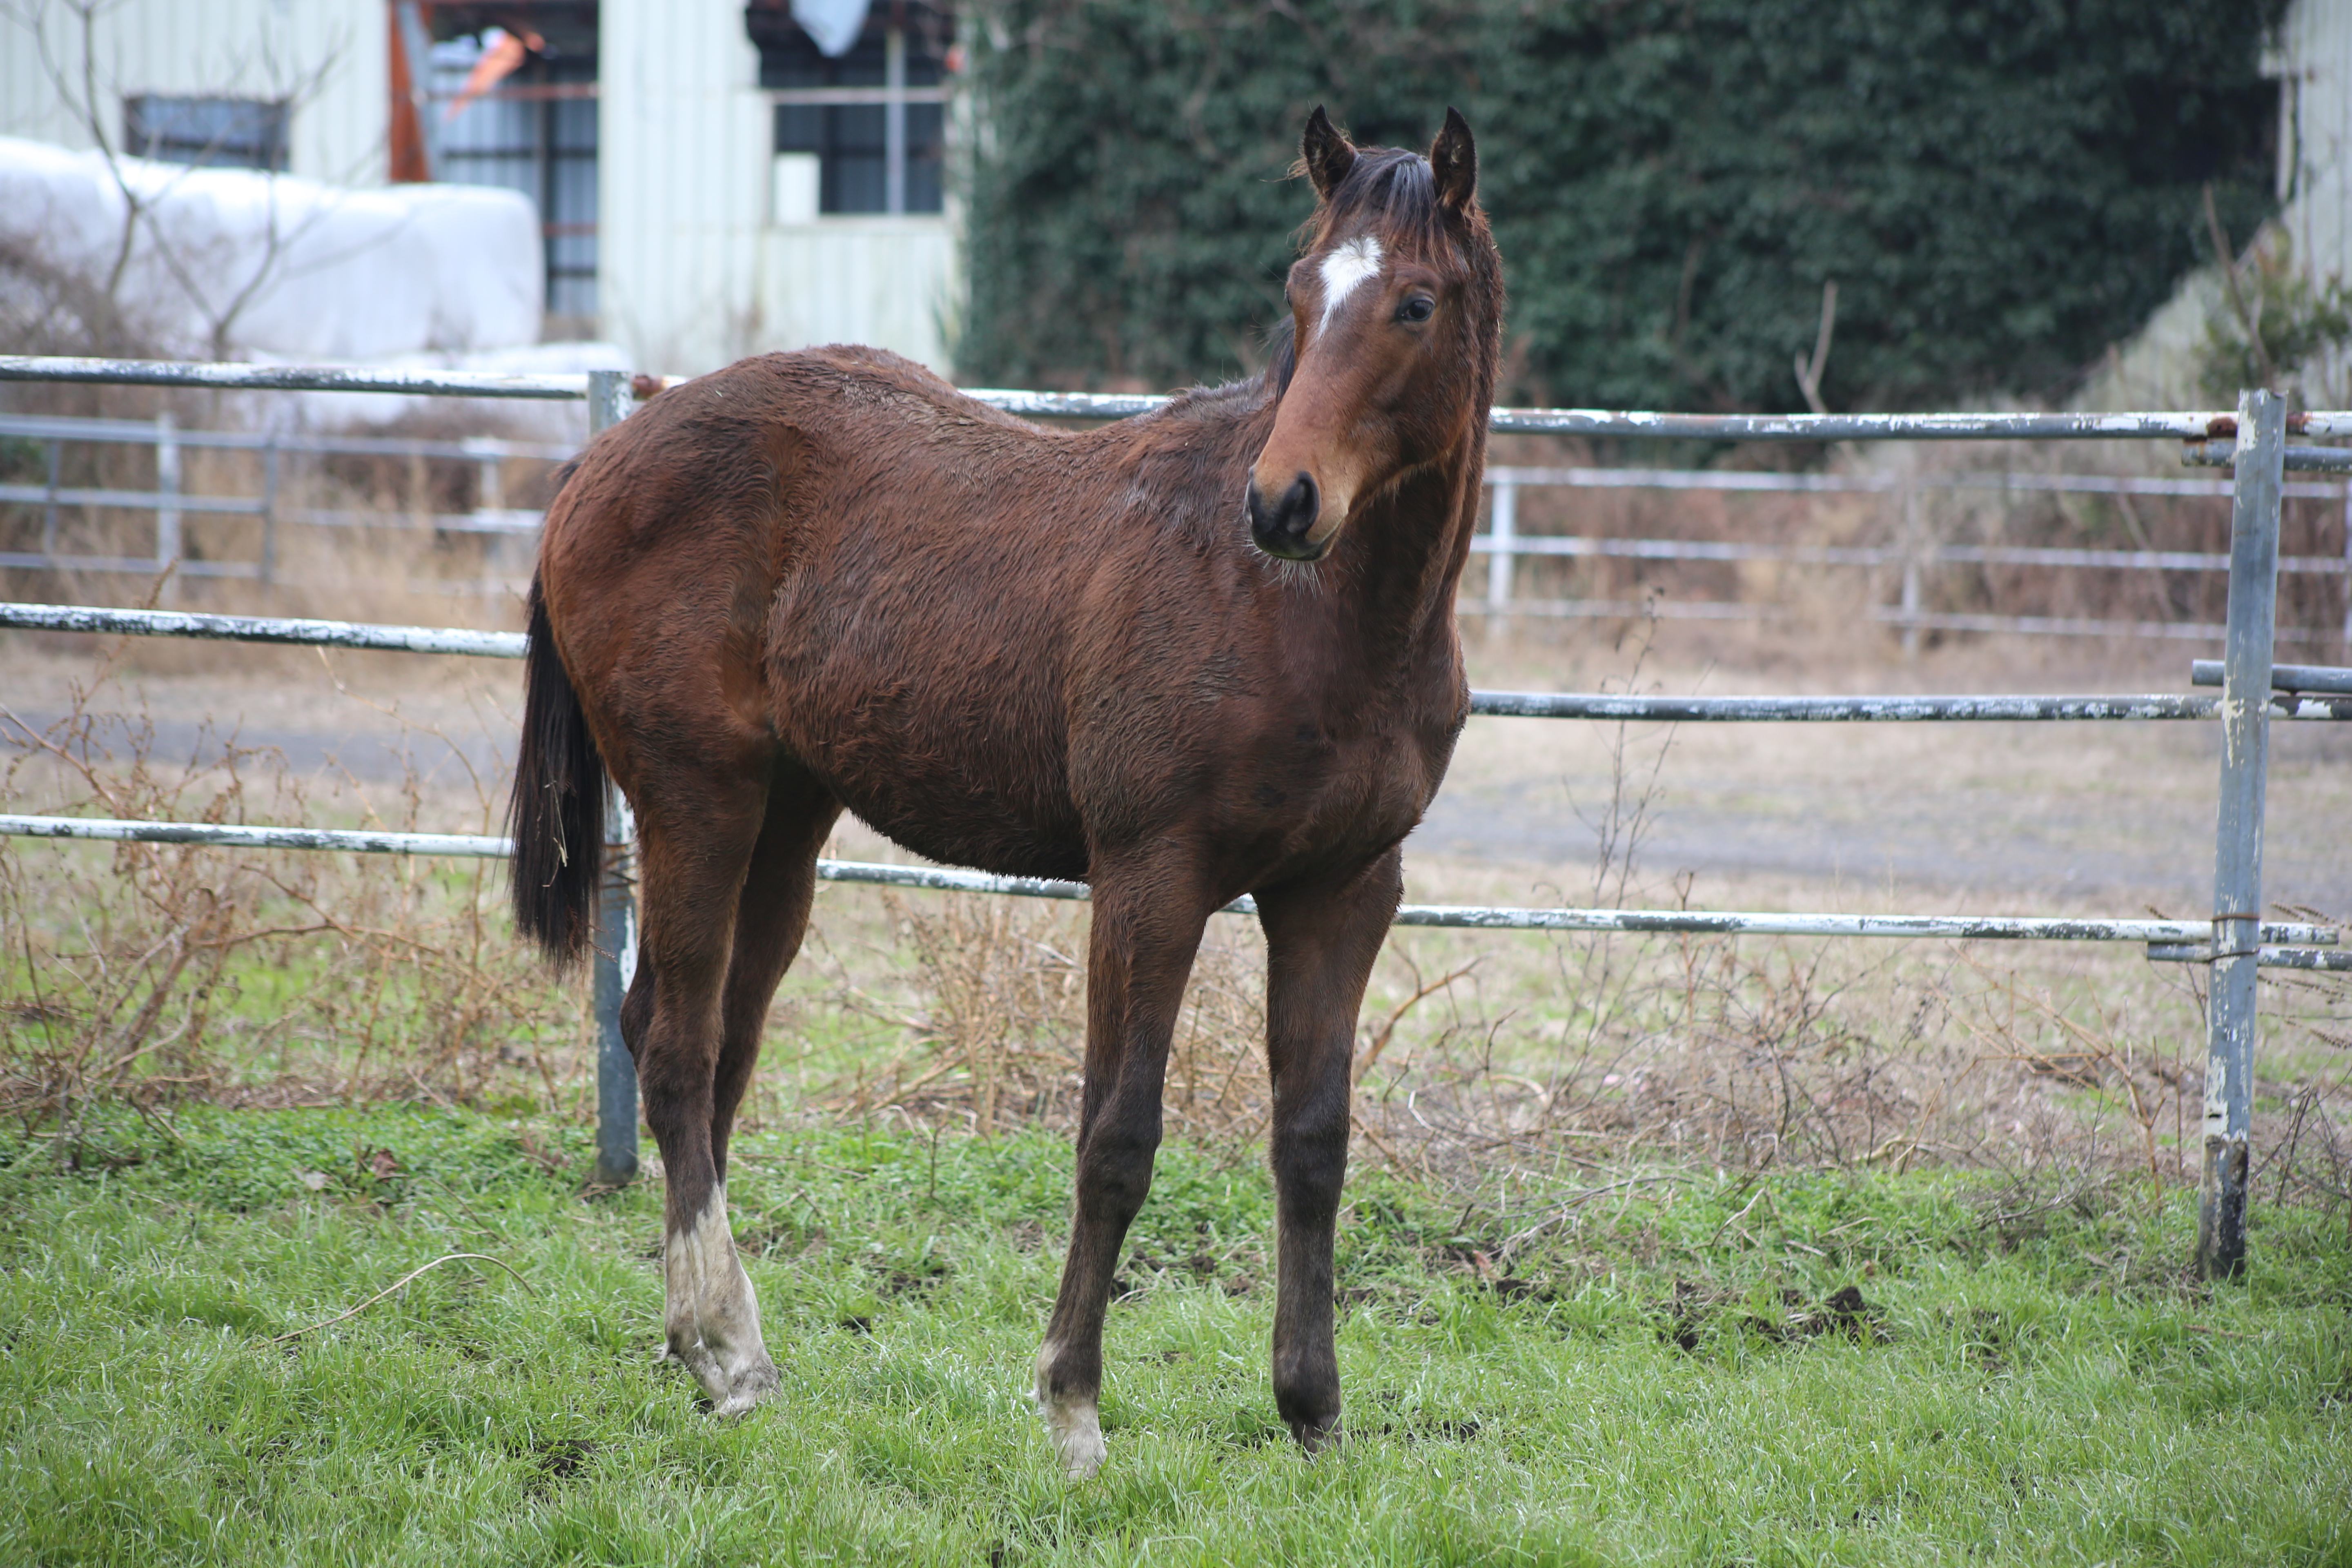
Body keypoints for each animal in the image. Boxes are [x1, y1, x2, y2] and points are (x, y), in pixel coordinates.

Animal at [515, 104, 1505, 1476]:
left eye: (1414, 302)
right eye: (1301, 292)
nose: (1283, 502)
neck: (1310, 618)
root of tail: (606, 452)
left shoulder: (1344, 890)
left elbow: (1314, 1140)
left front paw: (1312, 1409)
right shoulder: (1152, 878)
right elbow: (1118, 1136)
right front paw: (1073, 1404)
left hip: (786, 823)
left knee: (706, 1049)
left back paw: (695, 1340)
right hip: (695, 799)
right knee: (676, 1052)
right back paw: (730, 1351)